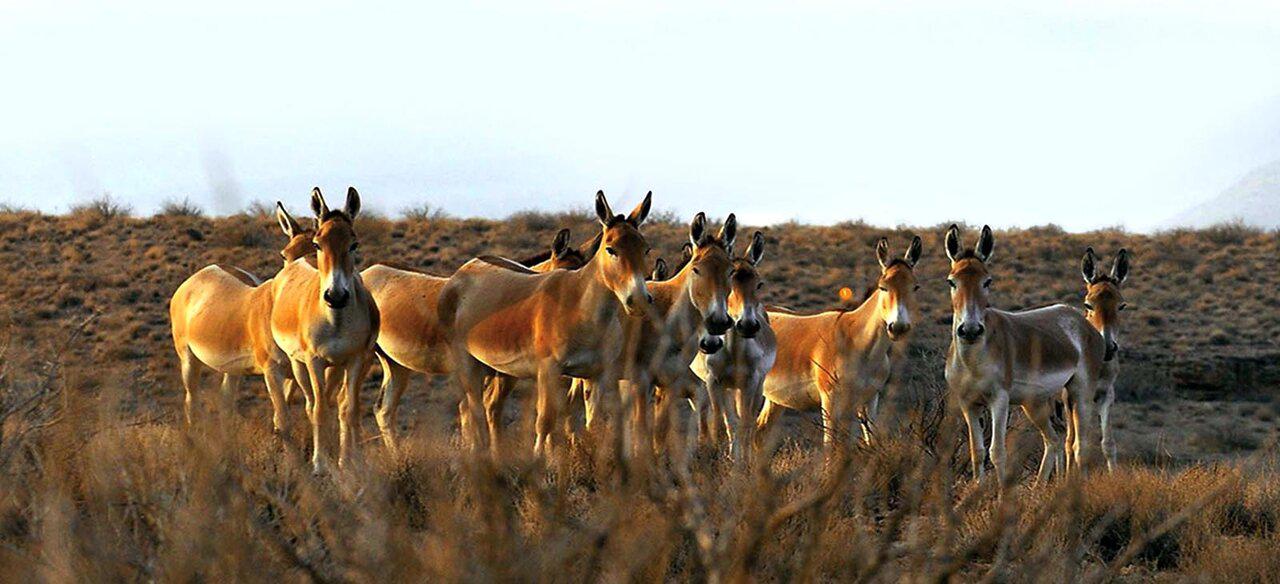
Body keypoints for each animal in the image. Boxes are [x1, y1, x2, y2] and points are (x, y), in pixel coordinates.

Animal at [168, 203, 313, 430]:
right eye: (284, 255)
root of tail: (202, 272)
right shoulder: (272, 370)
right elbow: (283, 419)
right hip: (188, 360)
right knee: (192, 402)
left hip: (233, 368)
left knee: (225, 402)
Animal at [271, 189, 378, 471]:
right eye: (319, 244)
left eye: (354, 244)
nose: (336, 296)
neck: (336, 319)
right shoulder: (315, 360)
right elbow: (319, 409)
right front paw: (320, 463)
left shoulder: (354, 360)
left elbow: (349, 409)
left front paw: (350, 462)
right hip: (299, 364)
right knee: (312, 404)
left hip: (338, 366)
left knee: (337, 403)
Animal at [752, 235, 926, 448]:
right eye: (883, 287)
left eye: (915, 287)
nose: (898, 327)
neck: (859, 343)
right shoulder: (830, 397)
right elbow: (830, 444)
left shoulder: (869, 398)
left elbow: (869, 441)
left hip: (775, 399)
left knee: (760, 432)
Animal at [947, 224, 1105, 491]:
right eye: (951, 282)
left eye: (987, 281)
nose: (970, 330)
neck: (973, 359)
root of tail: (1079, 318)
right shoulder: (968, 403)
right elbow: (976, 452)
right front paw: (978, 492)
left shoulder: (999, 400)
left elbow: (997, 451)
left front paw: (1002, 496)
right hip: (1035, 403)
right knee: (1052, 440)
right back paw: (1039, 489)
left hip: (1081, 392)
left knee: (1080, 445)